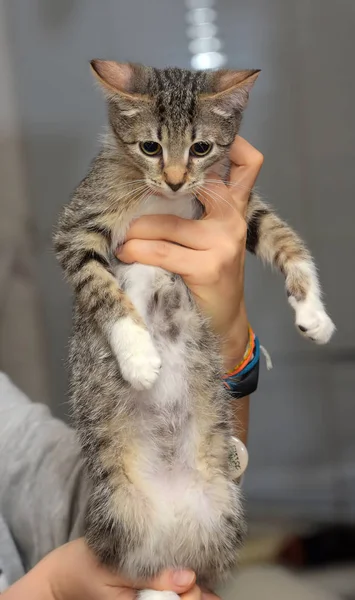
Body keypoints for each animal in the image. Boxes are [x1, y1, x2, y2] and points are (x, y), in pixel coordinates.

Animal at [54, 61, 336, 596]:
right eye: (150, 147)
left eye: (201, 148)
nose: (175, 180)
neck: (163, 200)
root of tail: (170, 528)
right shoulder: (77, 227)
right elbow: (101, 287)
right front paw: (139, 357)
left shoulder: (233, 204)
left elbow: (281, 236)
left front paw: (314, 313)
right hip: (116, 511)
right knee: (137, 566)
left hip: (222, 511)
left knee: (185, 570)